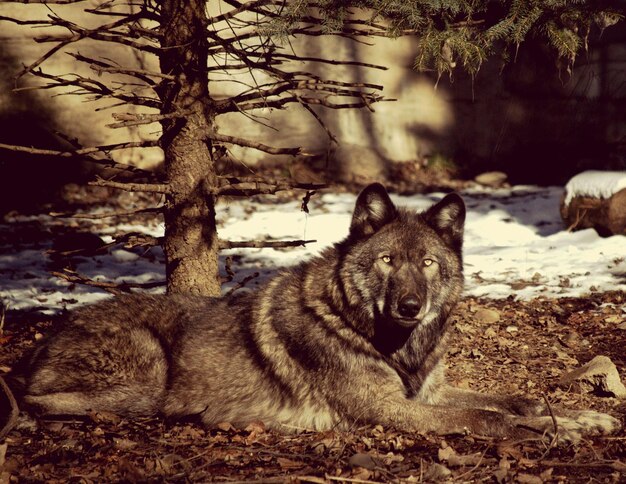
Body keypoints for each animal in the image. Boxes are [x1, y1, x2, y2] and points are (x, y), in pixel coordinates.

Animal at [11, 183, 620, 440]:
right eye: (387, 261)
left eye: (426, 262)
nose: (411, 305)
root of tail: (43, 344)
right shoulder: (395, 411)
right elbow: (490, 418)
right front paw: (562, 430)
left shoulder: (428, 394)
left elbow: (518, 399)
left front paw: (580, 418)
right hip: (150, 369)